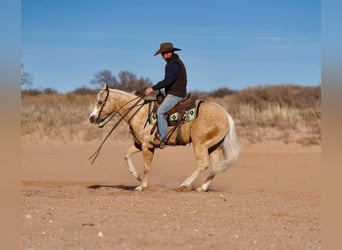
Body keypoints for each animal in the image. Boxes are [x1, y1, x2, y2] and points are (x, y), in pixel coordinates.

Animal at [89, 84, 240, 191]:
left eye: (101, 102)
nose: (92, 118)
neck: (139, 113)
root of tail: (225, 114)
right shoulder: (139, 144)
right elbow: (126, 155)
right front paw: (138, 177)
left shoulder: (147, 146)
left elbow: (146, 166)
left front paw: (141, 186)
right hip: (214, 146)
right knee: (215, 167)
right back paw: (202, 188)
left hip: (200, 145)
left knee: (203, 164)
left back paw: (184, 185)